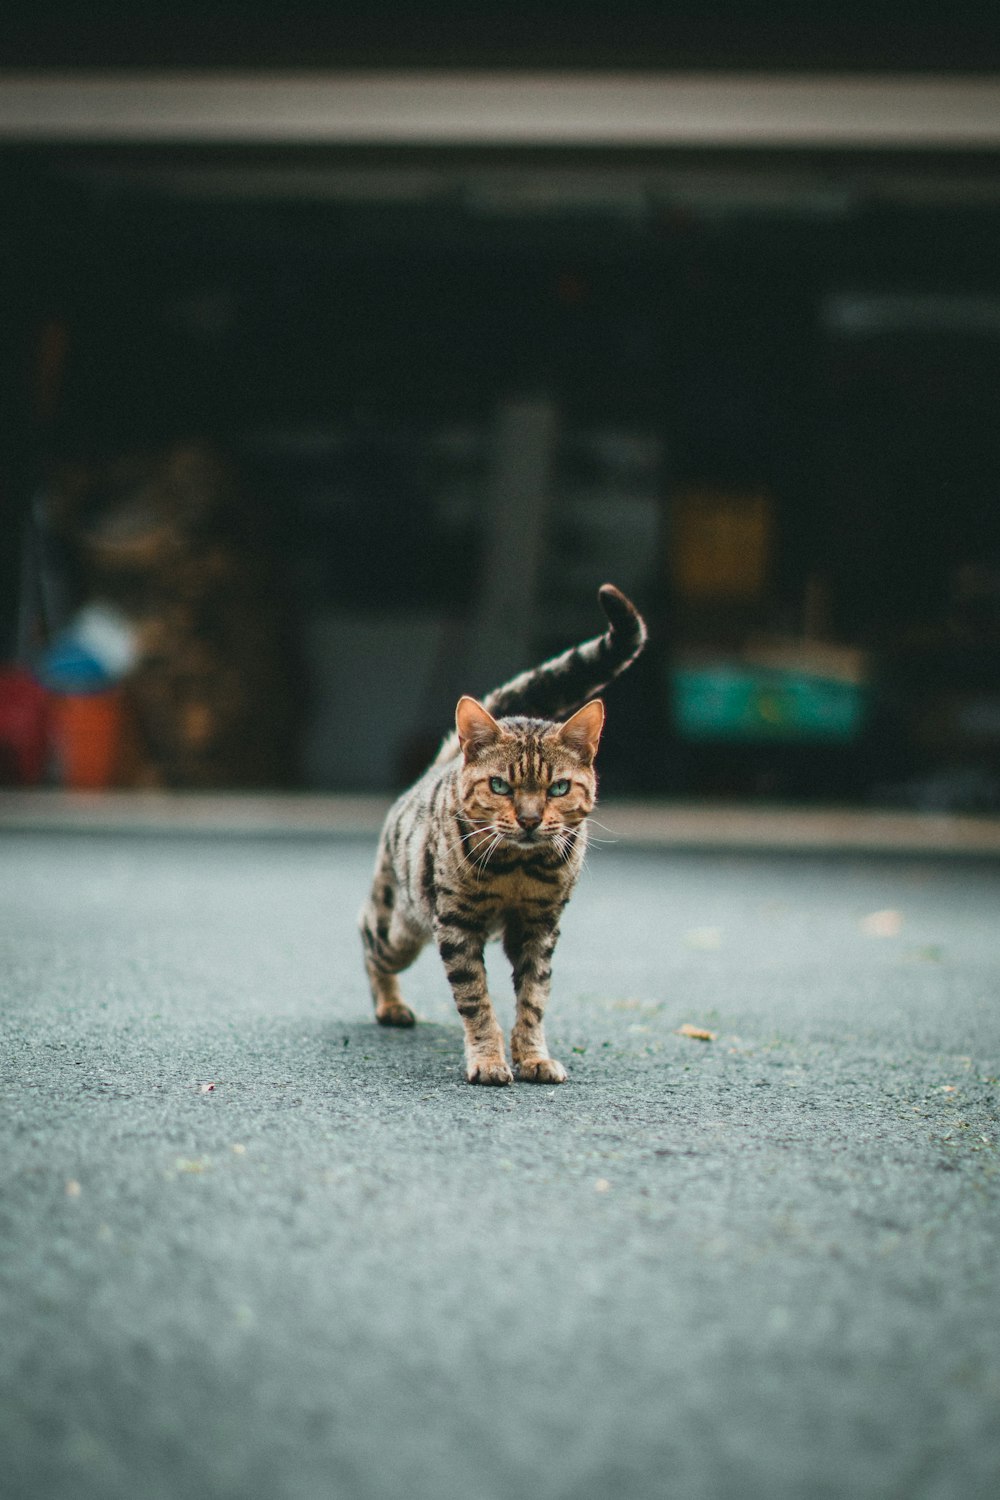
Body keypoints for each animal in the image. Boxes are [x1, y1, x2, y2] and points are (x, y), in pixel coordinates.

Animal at [359, 579, 650, 1086]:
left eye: (558, 787)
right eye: (500, 786)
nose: (530, 819)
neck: (518, 868)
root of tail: (445, 761)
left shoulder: (540, 927)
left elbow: (533, 1000)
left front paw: (533, 1056)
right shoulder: (456, 926)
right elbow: (476, 1000)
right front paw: (489, 1059)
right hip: (400, 924)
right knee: (368, 940)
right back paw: (390, 1004)